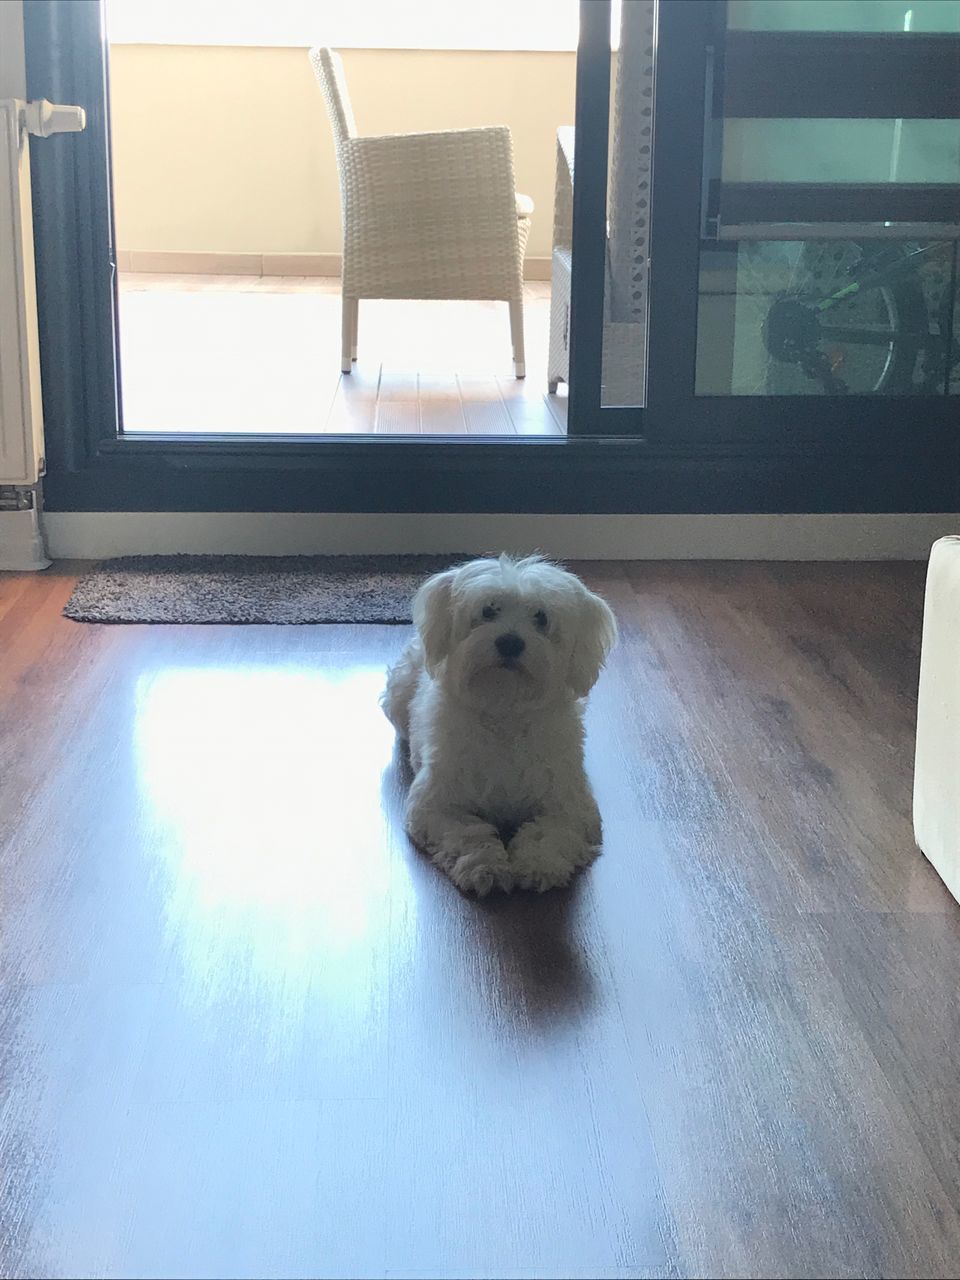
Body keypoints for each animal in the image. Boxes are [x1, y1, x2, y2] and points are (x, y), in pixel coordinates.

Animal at [386, 555, 619, 896]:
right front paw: (484, 867)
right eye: (488, 610)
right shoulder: (438, 804)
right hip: (397, 693)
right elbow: (467, 833)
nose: (510, 642)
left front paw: (538, 864)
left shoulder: (570, 806)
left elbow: (550, 834)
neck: (504, 709)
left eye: (540, 617)